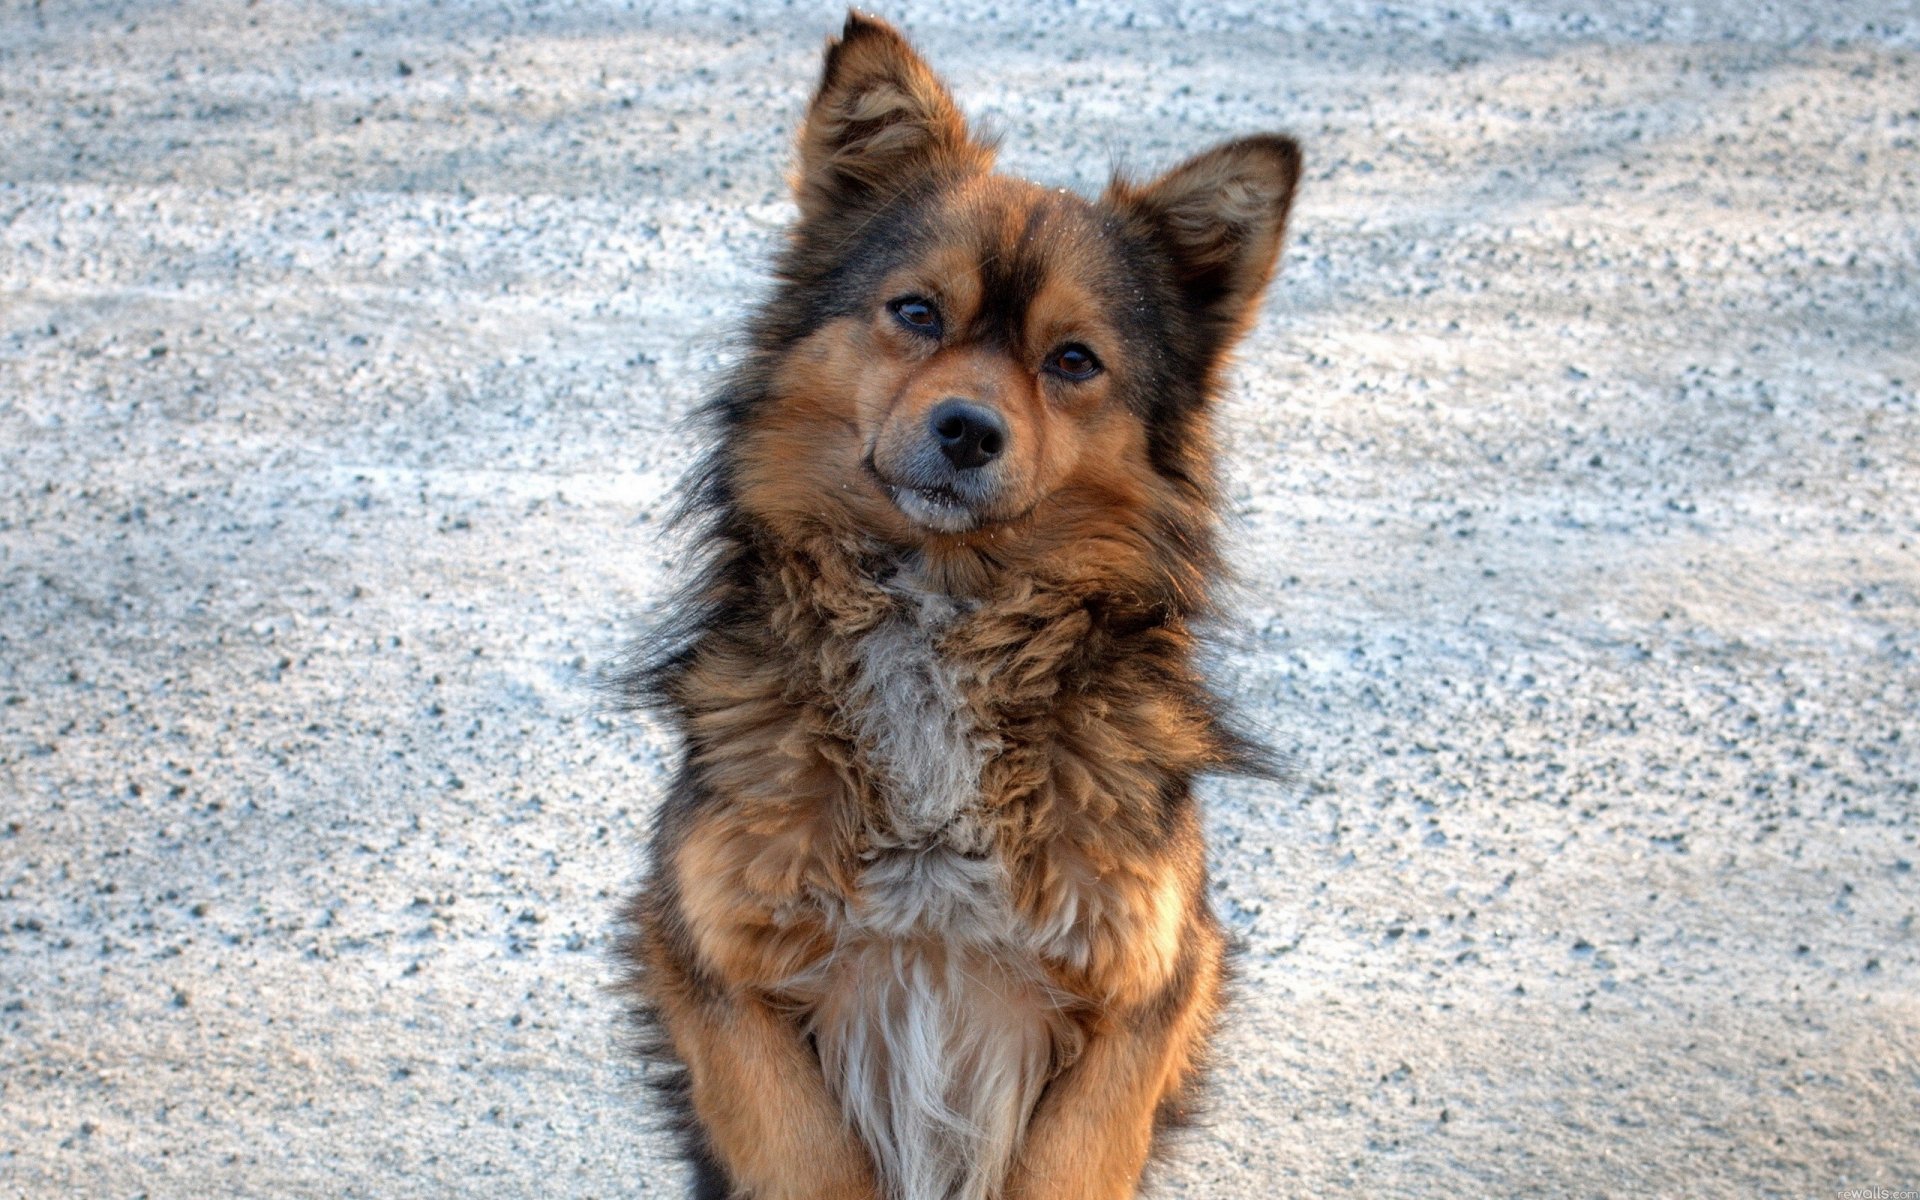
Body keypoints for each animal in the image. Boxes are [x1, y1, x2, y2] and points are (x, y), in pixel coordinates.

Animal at [622, 11, 1297, 1198]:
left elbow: (1074, 1158)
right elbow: (805, 1153)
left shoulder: (1151, 977)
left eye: (1073, 360)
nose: (968, 431)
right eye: (916, 312)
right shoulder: (705, 951)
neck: (944, 617)